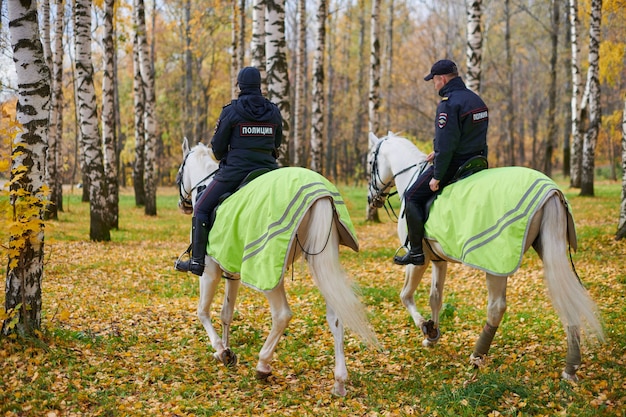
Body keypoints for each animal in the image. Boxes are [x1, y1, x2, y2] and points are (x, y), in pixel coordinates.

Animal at [177, 138, 380, 394]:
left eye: (179, 172)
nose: (182, 206)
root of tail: (320, 194)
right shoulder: (231, 271)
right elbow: (226, 314)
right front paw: (226, 350)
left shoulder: (210, 270)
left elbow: (202, 311)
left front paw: (221, 350)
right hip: (321, 260)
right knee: (336, 315)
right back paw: (339, 382)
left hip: (269, 270)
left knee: (282, 314)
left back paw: (263, 365)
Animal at [364, 131, 604, 380]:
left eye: (370, 162)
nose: (372, 200)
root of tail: (550, 190)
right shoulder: (439, 261)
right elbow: (435, 298)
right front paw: (432, 336)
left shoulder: (418, 261)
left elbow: (405, 295)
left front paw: (425, 327)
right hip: (550, 250)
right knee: (568, 297)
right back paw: (571, 365)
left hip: (497, 265)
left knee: (496, 308)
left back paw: (477, 355)